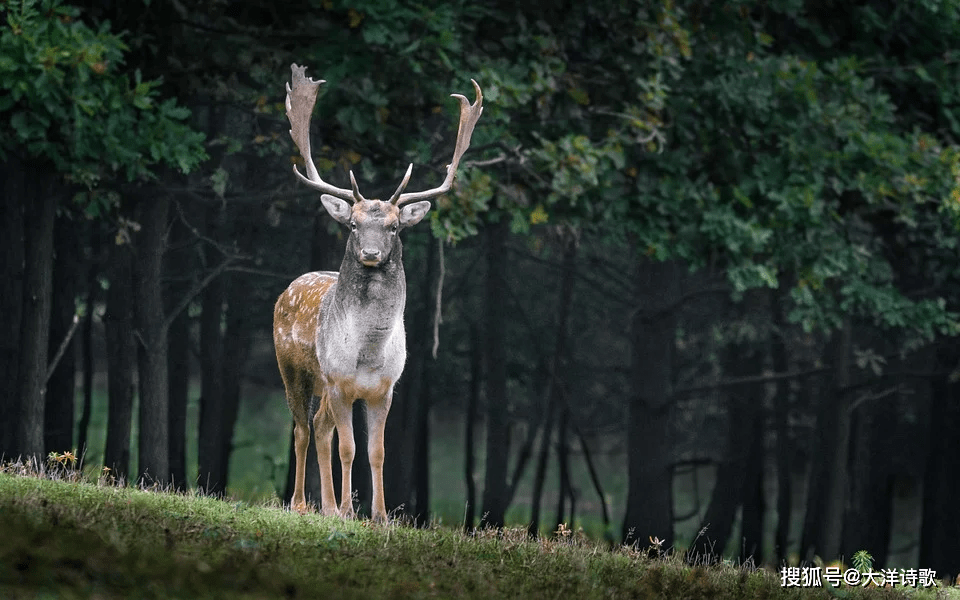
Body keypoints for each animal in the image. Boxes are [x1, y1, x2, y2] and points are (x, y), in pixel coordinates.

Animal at [272, 62, 484, 520]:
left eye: (394, 226)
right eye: (353, 224)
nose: (370, 253)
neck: (367, 354)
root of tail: (288, 289)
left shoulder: (385, 388)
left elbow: (377, 451)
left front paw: (380, 515)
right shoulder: (339, 382)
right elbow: (349, 448)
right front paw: (349, 511)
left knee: (319, 428)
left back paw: (326, 506)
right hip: (293, 369)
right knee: (302, 428)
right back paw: (302, 504)